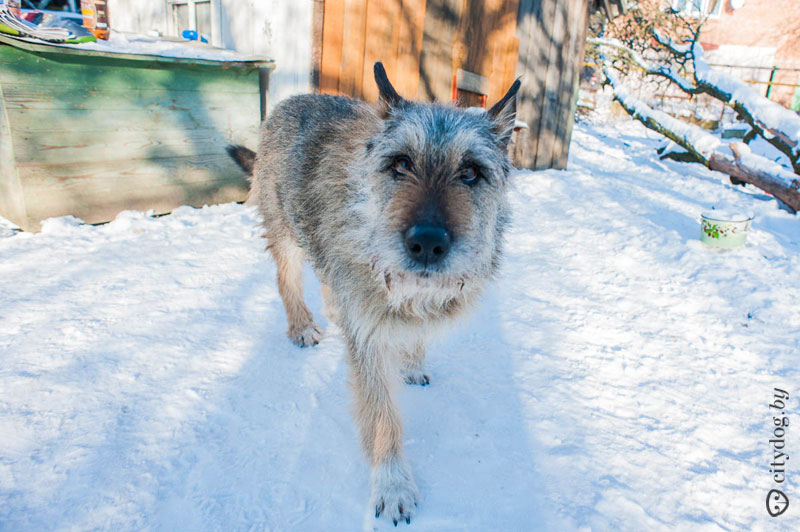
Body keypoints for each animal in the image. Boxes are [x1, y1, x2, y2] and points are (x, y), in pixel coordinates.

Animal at [228, 64, 520, 524]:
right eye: (400, 163)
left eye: (471, 172)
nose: (427, 243)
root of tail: (294, 99)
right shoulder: (367, 341)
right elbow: (383, 416)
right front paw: (393, 481)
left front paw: (414, 361)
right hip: (287, 229)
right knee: (286, 277)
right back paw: (301, 324)